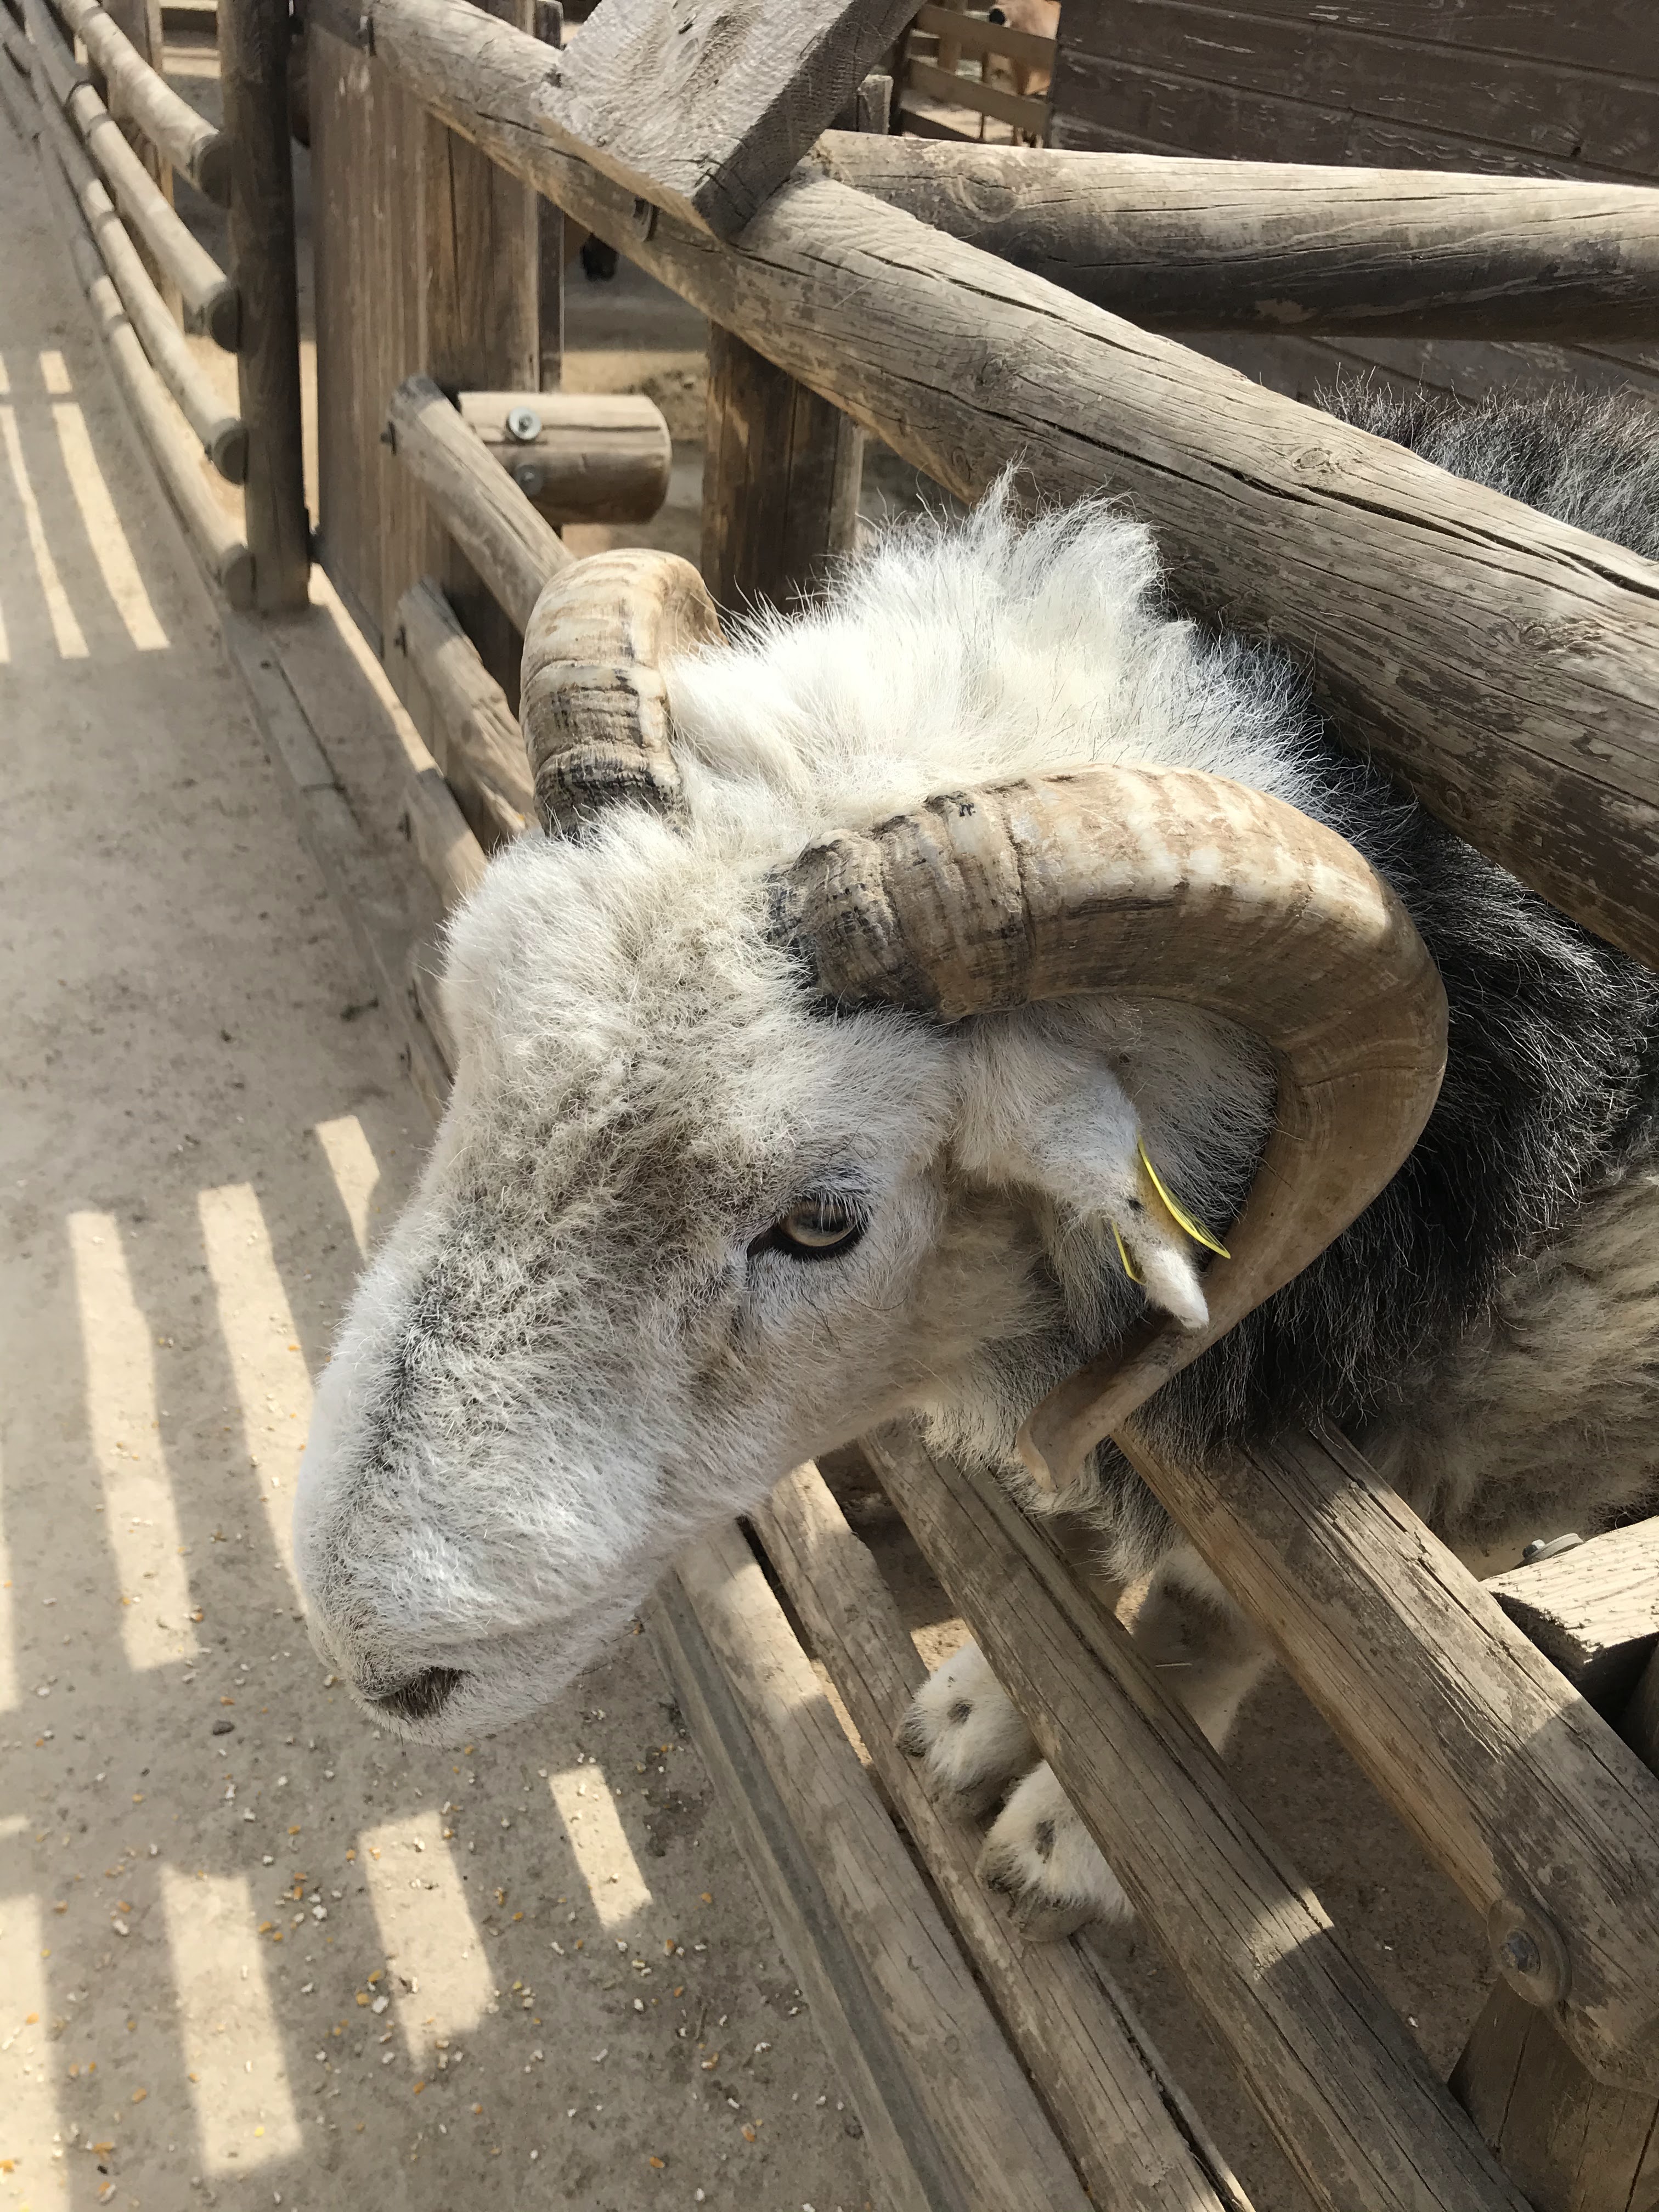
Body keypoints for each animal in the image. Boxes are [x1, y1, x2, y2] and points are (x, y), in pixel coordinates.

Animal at [294, 382, 1659, 1936]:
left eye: (823, 1223)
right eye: (472, 1040)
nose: (373, 1660)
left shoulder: (1480, 1456)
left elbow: (1217, 1603)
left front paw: (1077, 1832)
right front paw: (993, 1712)